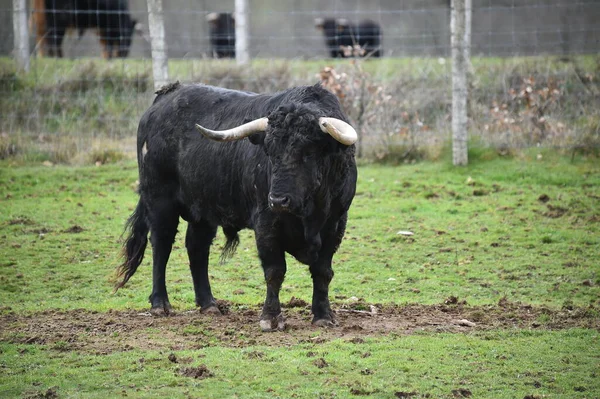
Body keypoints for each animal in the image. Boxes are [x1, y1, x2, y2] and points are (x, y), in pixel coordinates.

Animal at [115, 82, 358, 332]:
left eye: (308, 152)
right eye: (269, 151)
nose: (278, 200)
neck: (309, 214)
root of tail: (166, 95)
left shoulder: (335, 225)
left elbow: (322, 271)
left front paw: (323, 315)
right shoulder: (266, 225)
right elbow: (275, 271)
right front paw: (270, 318)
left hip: (203, 209)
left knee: (197, 247)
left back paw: (209, 304)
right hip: (159, 200)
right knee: (161, 245)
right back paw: (160, 304)